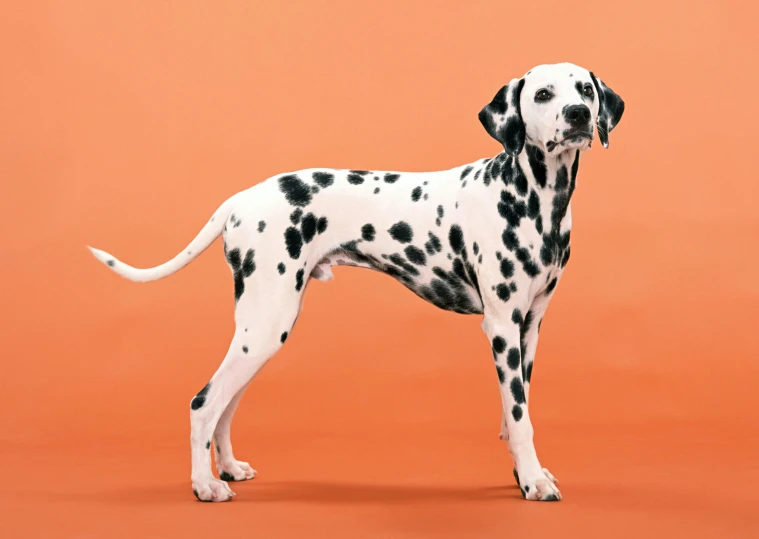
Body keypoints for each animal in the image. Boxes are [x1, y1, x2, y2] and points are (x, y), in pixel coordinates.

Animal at [89, 62, 624, 502]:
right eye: (543, 94)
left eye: (584, 89)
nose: (578, 114)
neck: (534, 199)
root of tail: (239, 200)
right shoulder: (500, 327)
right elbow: (518, 416)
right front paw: (533, 482)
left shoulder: (528, 327)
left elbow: (518, 412)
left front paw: (524, 474)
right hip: (266, 327)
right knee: (204, 403)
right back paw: (204, 485)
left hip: (258, 335)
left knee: (224, 404)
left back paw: (228, 468)